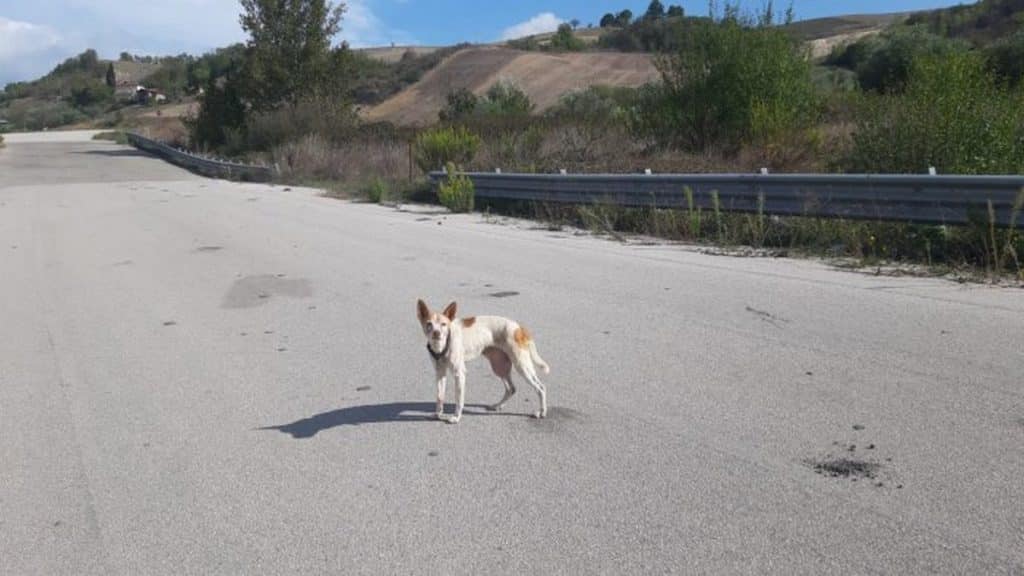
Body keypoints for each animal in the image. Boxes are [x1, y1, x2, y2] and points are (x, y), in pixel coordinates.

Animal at [415, 301, 552, 422]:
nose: (436, 333)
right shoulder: (440, 373)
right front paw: (437, 414)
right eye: (429, 324)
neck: (442, 345)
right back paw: (497, 405)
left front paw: (456, 417)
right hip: (500, 367)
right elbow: (439, 396)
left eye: (443, 324)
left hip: (522, 366)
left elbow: (458, 399)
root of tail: (519, 327)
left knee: (541, 388)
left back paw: (542, 412)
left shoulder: (459, 374)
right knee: (511, 389)